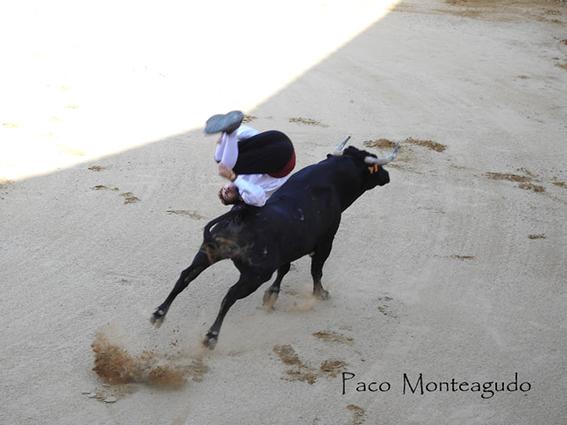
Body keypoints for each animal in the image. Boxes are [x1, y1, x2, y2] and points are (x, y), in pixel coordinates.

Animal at [149, 144, 392, 346]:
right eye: (376, 167)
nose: (387, 175)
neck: (330, 180)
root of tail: (241, 214)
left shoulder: (288, 250)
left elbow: (284, 269)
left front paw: (272, 296)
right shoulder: (326, 242)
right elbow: (316, 270)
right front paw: (320, 293)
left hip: (207, 253)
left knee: (185, 276)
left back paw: (159, 314)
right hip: (255, 275)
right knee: (229, 296)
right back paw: (211, 336)